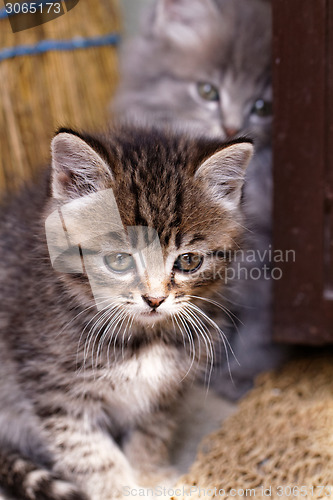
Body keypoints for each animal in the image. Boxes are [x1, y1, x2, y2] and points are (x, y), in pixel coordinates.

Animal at [0, 126, 252, 500]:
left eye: (189, 261)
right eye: (119, 260)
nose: (155, 299)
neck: (143, 339)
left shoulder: (165, 390)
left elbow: (151, 433)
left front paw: (151, 477)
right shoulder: (55, 391)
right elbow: (90, 454)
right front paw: (116, 489)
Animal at [111, 0, 286, 400]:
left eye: (262, 107)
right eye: (207, 91)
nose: (231, 128)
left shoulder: (264, 273)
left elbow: (256, 333)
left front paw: (237, 376)